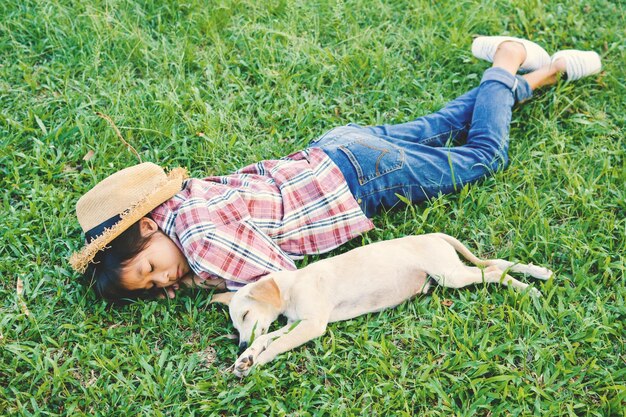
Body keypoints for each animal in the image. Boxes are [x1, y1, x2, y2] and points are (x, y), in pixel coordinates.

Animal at [213, 232, 552, 376]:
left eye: (245, 313)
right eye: (235, 324)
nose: (240, 345)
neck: (292, 285)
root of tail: (434, 235)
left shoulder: (312, 325)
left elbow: (277, 344)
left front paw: (257, 361)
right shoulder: (297, 322)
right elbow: (268, 336)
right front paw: (247, 357)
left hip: (450, 276)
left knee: (493, 272)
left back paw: (526, 289)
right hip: (454, 271)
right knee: (498, 263)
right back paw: (538, 273)